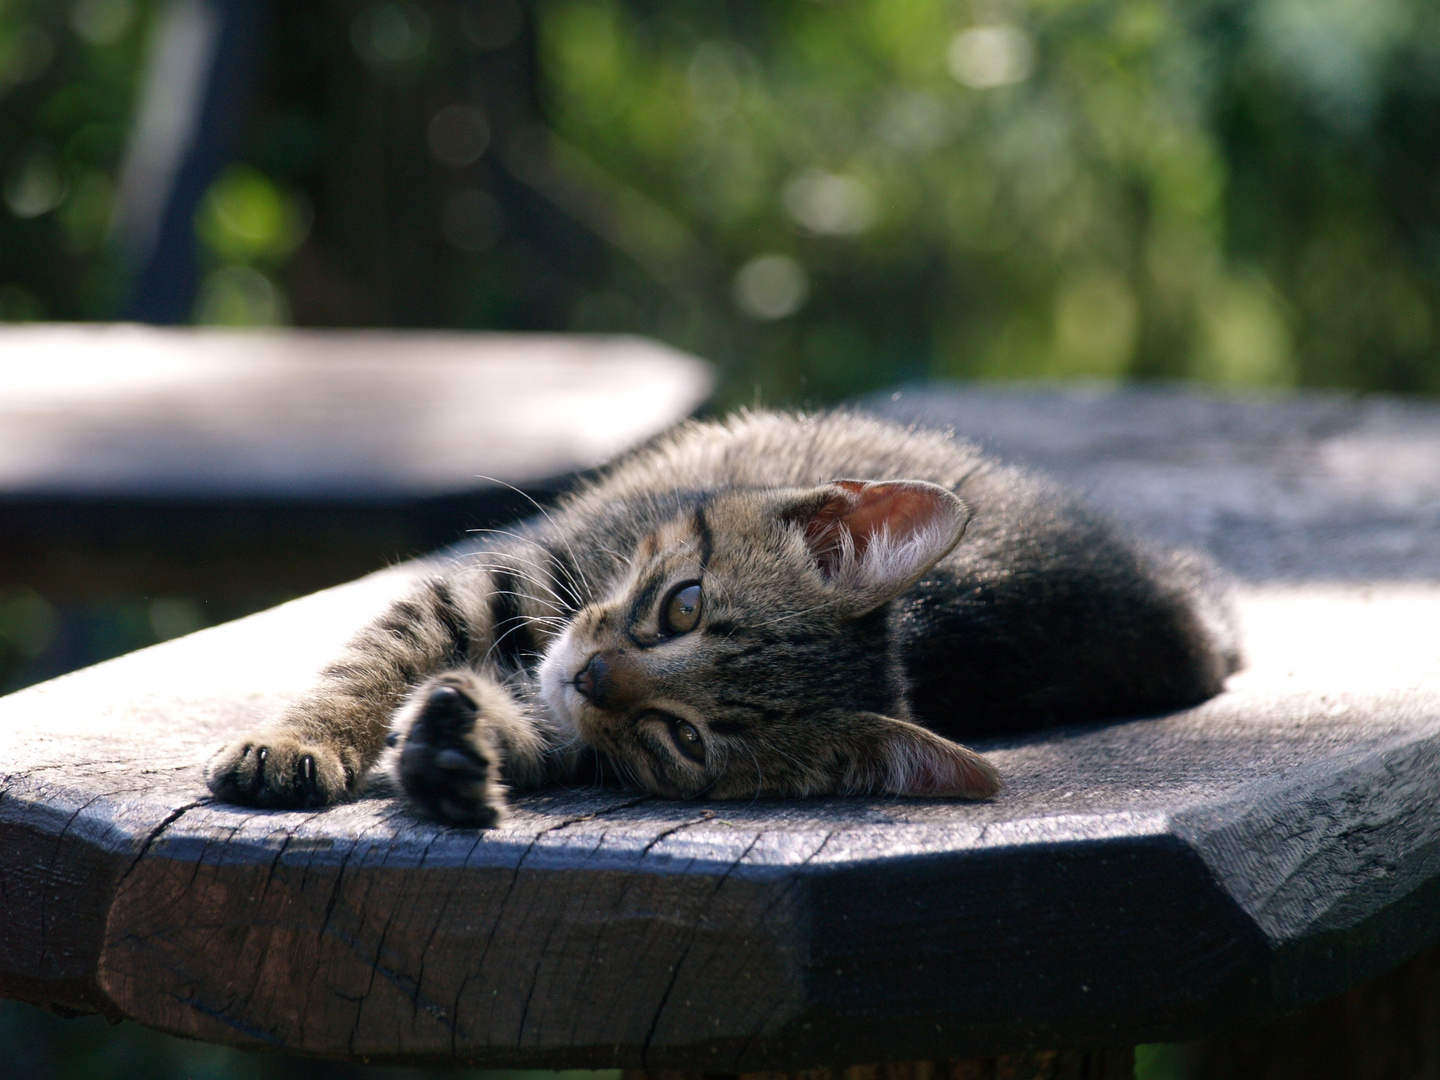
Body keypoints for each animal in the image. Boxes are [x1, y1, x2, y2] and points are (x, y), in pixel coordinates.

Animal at [208, 408, 1244, 823]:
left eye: (685, 740)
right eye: (685, 604)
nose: (591, 675)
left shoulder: (568, 720)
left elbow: (529, 729)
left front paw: (459, 757)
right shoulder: (490, 585)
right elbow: (368, 663)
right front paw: (298, 741)